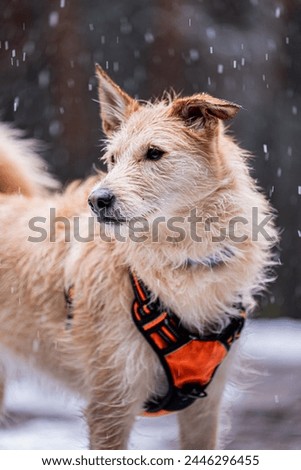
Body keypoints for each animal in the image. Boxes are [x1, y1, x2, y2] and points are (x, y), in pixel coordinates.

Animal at [0, 67, 276, 452]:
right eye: (113, 159)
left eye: (154, 153)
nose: (97, 200)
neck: (182, 262)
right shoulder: (111, 403)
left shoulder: (205, 408)